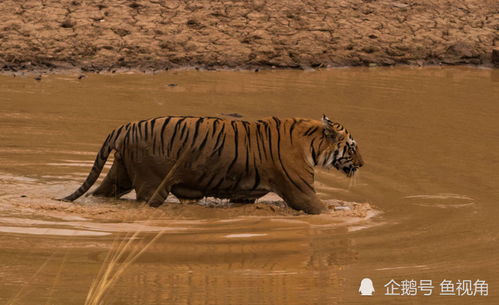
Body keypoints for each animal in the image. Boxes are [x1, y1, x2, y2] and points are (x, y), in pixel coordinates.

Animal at [62, 114, 364, 214]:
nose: (362, 164)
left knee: (101, 193)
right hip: (152, 185)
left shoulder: (244, 194)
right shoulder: (301, 193)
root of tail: (125, 126)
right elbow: (322, 209)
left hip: (120, 174)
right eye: (352, 146)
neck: (311, 143)